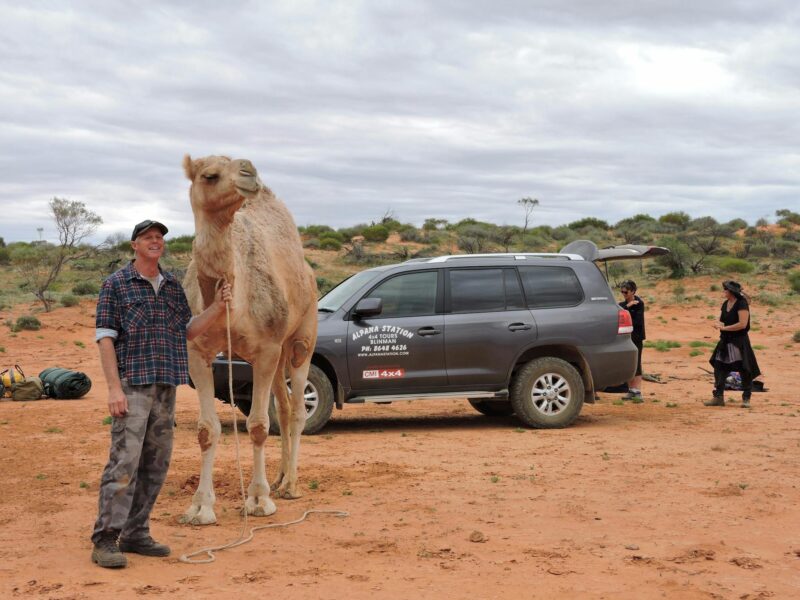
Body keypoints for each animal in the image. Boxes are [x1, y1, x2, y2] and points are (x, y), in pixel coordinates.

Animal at [180, 154, 318, 524]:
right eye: (209, 175)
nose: (249, 173)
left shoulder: (266, 348)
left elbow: (257, 425)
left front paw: (257, 500)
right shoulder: (196, 352)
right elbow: (206, 429)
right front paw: (200, 506)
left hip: (300, 338)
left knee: (296, 409)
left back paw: (291, 485)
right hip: (278, 353)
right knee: (284, 406)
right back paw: (281, 477)